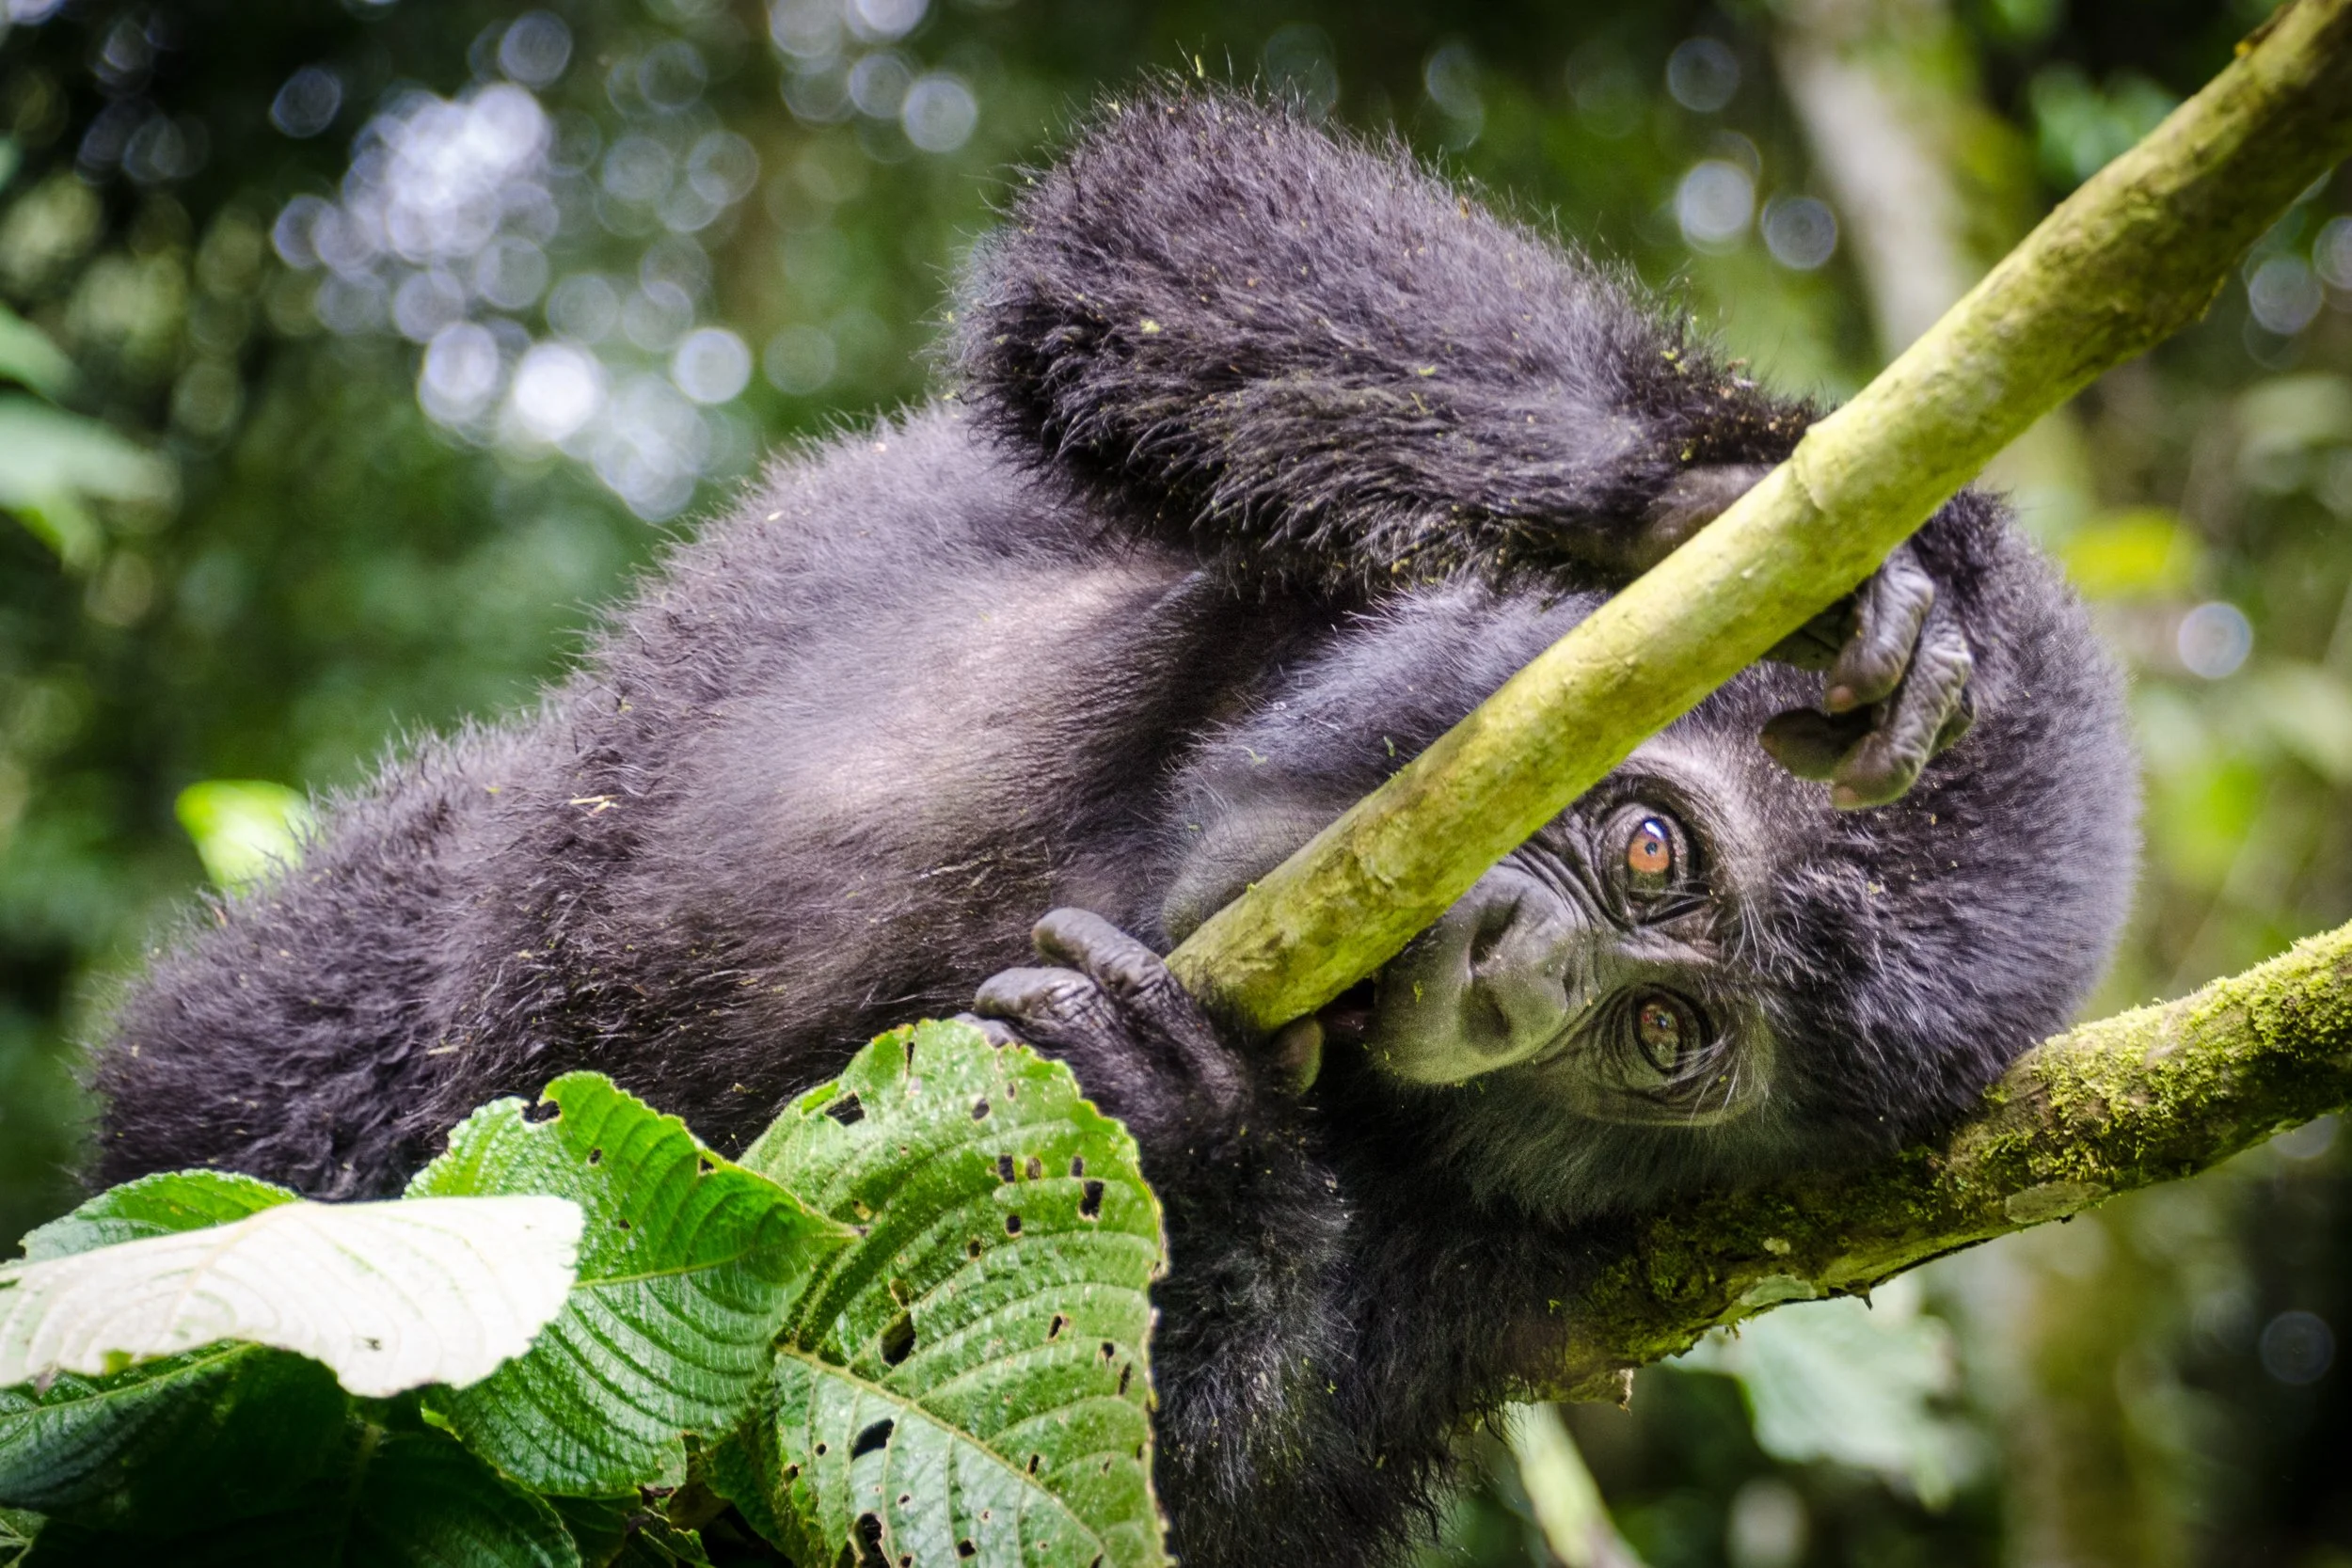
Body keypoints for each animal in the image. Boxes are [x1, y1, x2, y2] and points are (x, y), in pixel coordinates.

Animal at [86, 92, 2137, 1566]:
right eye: (1651, 853)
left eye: (1662, 1038)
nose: (1514, 974)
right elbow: (1151, 238)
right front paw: (1695, 511)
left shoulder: (1561, 1275)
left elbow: (1199, 1494)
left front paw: (1194, 1137)